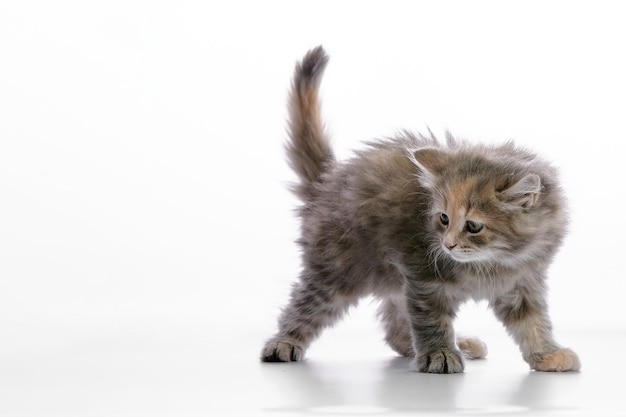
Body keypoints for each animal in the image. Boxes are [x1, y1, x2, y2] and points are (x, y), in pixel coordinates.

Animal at [260, 47, 580, 372]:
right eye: (443, 218)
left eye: (473, 226)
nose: (448, 245)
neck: (498, 261)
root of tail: (329, 180)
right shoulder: (424, 279)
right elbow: (431, 320)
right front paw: (440, 353)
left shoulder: (524, 284)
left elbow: (533, 323)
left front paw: (548, 354)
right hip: (339, 268)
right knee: (308, 304)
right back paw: (284, 343)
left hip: (391, 278)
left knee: (394, 325)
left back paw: (449, 345)